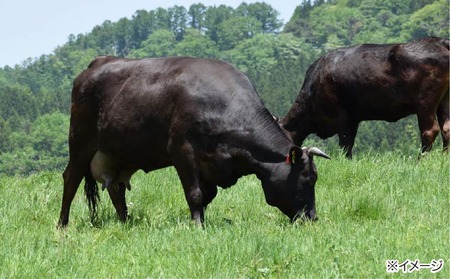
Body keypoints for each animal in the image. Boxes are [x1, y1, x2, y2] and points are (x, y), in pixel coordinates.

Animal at [280, 37, 448, 159]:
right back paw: (444, 157)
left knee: (430, 131)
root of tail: (440, 41)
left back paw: (421, 160)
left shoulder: (341, 117)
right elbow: (350, 142)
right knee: (446, 128)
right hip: (444, 101)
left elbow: (345, 143)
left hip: (425, 103)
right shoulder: (353, 118)